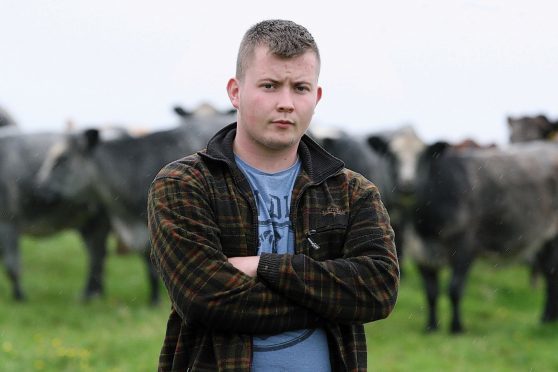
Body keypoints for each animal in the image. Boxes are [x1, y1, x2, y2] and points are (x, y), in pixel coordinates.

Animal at [0, 129, 112, 300]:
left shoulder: (8, 222)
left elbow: (12, 265)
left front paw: (20, 297)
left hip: (100, 220)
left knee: (97, 255)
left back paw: (90, 294)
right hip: (87, 223)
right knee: (96, 254)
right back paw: (93, 292)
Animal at [414, 141, 558, 332]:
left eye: (422, 160)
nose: (406, 186)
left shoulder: (465, 247)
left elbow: (454, 288)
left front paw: (456, 328)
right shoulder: (420, 253)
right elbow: (430, 292)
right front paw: (431, 327)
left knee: (552, 272)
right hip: (542, 240)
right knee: (550, 272)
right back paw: (547, 318)